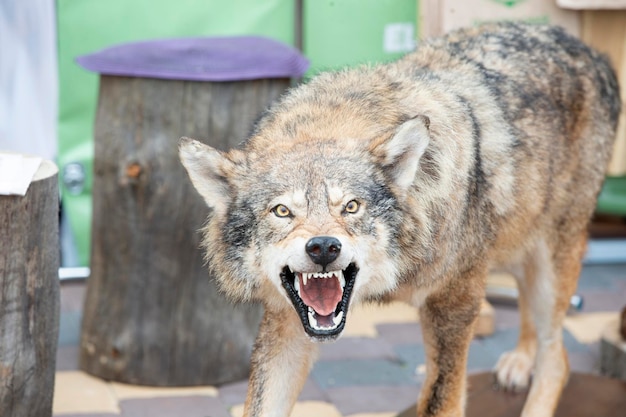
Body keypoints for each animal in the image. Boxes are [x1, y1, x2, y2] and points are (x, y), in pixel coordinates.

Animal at [178, 22, 616, 416]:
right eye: (282, 211)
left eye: (351, 207)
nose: (323, 247)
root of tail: (592, 53)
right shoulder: (287, 320)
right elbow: (259, 404)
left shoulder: (454, 303)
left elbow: (440, 402)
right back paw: (519, 361)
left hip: (549, 265)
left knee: (558, 358)